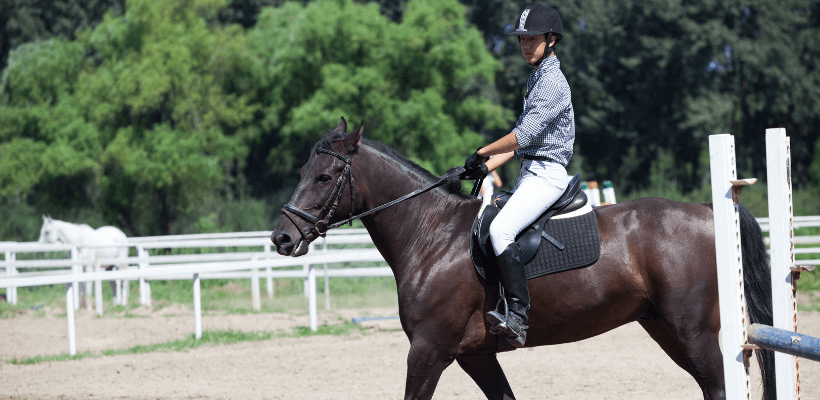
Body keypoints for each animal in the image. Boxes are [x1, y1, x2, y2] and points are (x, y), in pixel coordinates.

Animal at [270, 119, 776, 400]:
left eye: (325, 177)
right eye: (304, 171)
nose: (281, 238)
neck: (430, 234)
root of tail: (710, 209)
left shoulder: (429, 350)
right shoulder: (475, 356)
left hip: (693, 330)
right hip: (664, 328)